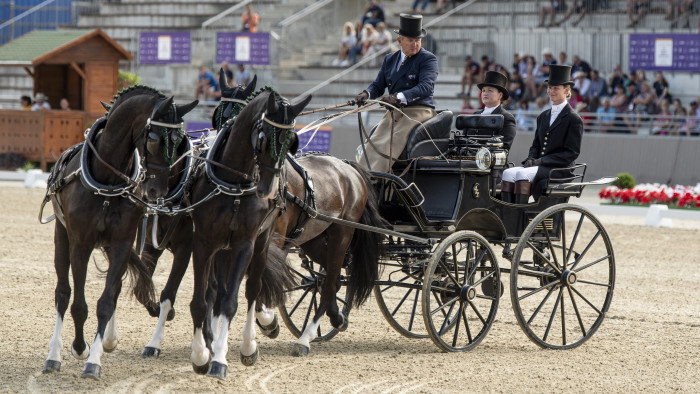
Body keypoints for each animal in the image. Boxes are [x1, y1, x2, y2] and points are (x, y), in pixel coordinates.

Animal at [41, 87, 198, 378]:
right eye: (154, 139)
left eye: (179, 139)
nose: (156, 190)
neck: (106, 181)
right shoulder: (81, 243)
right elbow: (78, 304)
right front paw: (80, 347)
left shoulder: (122, 243)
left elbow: (106, 301)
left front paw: (94, 360)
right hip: (61, 235)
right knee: (63, 293)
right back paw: (54, 354)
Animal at [138, 70, 258, 358]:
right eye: (149, 139)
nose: (151, 189)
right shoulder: (150, 244)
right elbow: (141, 285)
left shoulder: (187, 247)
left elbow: (171, 292)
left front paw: (157, 340)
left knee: (218, 290)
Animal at [189, 87, 312, 378]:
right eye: (263, 138)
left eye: (290, 141)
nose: (268, 188)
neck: (234, 184)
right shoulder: (204, 242)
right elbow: (201, 300)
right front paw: (201, 354)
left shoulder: (245, 243)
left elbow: (231, 302)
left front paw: (219, 360)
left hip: (262, 242)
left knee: (253, 289)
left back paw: (248, 345)